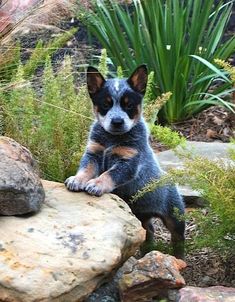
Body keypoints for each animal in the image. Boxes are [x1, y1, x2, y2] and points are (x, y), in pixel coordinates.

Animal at [64, 65, 185, 258]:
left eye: (128, 105)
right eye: (106, 104)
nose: (117, 121)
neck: (111, 140)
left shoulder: (128, 162)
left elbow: (109, 174)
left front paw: (96, 184)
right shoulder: (93, 153)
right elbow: (86, 168)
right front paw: (78, 179)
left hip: (174, 216)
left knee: (178, 238)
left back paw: (178, 257)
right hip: (139, 215)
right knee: (149, 230)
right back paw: (145, 252)